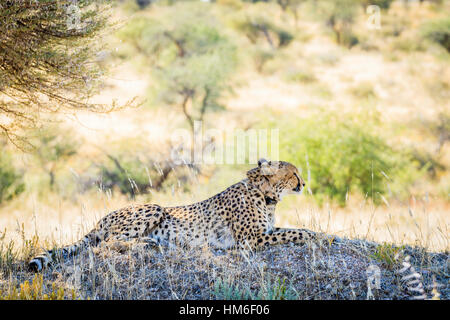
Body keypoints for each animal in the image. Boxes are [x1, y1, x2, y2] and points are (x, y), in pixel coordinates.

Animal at [29, 159, 328, 272]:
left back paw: (151, 242)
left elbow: (293, 228)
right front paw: (323, 237)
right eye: (293, 173)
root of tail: (102, 217)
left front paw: (323, 235)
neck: (265, 195)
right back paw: (147, 243)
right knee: (107, 243)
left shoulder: (263, 234)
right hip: (154, 207)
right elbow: (297, 231)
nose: (303, 183)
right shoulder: (250, 241)